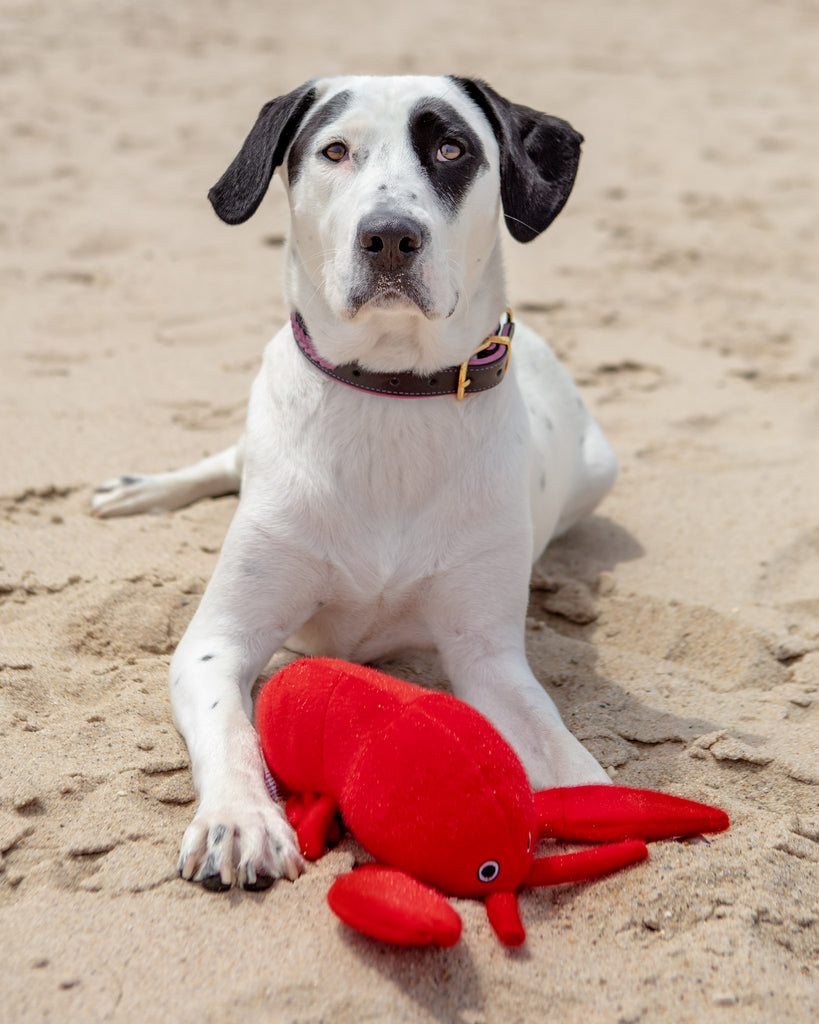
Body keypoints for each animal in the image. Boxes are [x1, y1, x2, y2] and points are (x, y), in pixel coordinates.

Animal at [91, 75, 614, 888]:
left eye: (451, 148)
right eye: (335, 151)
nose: (390, 237)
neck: (390, 394)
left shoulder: (487, 658)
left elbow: (558, 746)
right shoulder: (217, 640)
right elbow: (231, 728)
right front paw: (241, 818)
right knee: (228, 460)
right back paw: (141, 488)